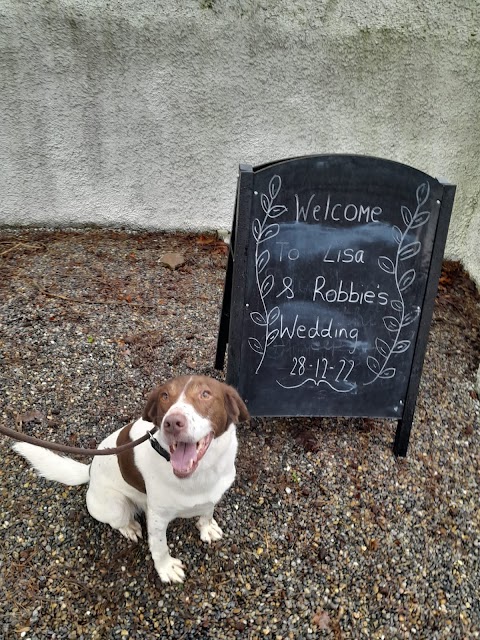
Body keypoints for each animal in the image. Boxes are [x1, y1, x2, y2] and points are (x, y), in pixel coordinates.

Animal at [13, 378, 249, 584]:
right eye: (164, 396)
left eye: (205, 394)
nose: (172, 423)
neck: (200, 473)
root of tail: (89, 470)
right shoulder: (157, 518)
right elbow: (159, 547)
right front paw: (166, 569)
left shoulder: (213, 495)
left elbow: (207, 511)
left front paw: (206, 527)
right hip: (116, 506)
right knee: (118, 520)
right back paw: (129, 527)